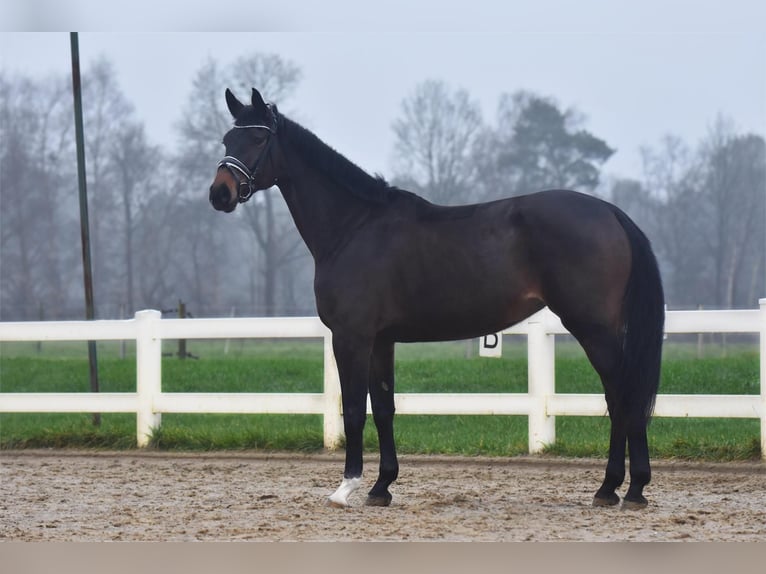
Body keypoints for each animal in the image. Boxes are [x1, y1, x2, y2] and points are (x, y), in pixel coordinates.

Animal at [210, 88, 664, 510]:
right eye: (227, 139)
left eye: (257, 138)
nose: (220, 194)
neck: (354, 227)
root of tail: (611, 213)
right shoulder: (381, 340)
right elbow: (384, 407)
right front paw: (381, 487)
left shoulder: (351, 336)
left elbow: (354, 408)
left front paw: (346, 488)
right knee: (618, 397)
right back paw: (615, 489)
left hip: (592, 327)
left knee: (622, 395)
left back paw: (626, 488)